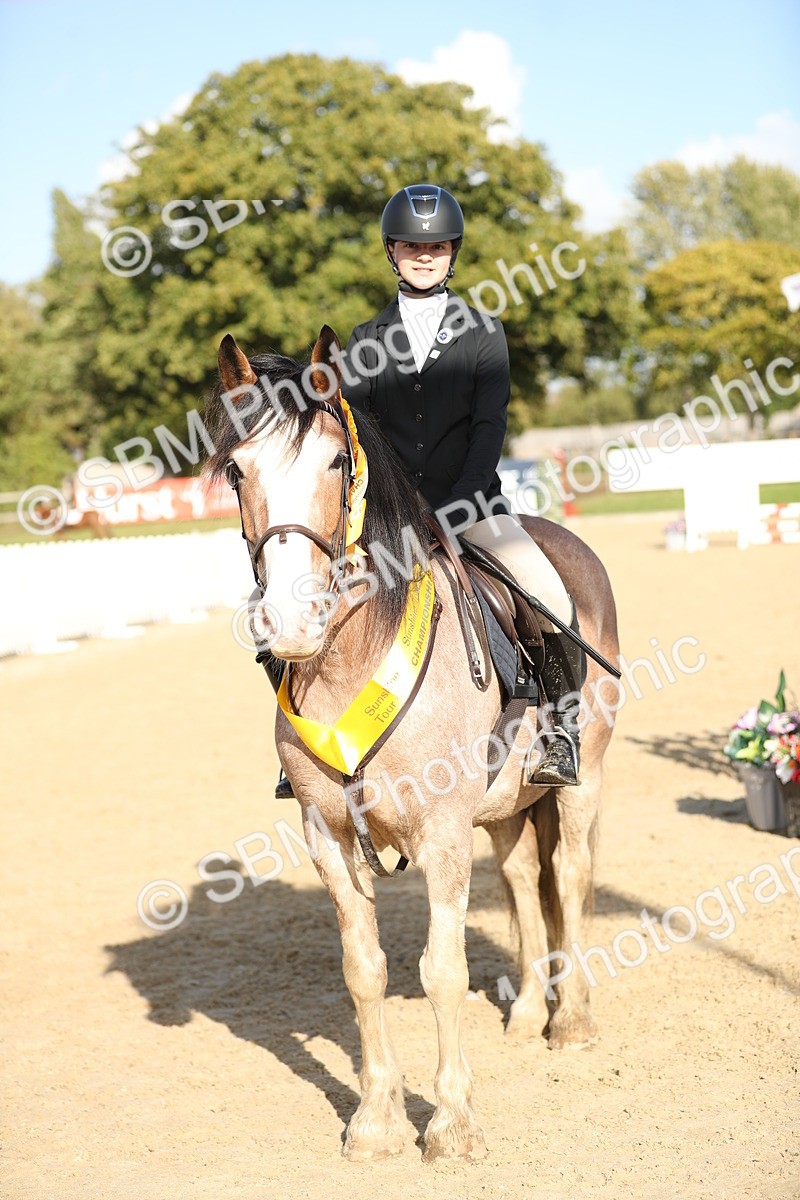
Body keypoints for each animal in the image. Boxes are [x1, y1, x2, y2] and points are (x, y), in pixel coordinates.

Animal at [204, 326, 620, 1162]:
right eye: (237, 470)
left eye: (338, 461)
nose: (291, 622)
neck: (348, 659)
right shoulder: (329, 837)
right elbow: (364, 971)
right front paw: (377, 1121)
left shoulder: (442, 835)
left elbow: (442, 969)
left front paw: (453, 1124)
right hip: (504, 807)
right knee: (524, 879)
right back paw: (529, 1013)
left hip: (582, 778)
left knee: (569, 873)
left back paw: (572, 1019)